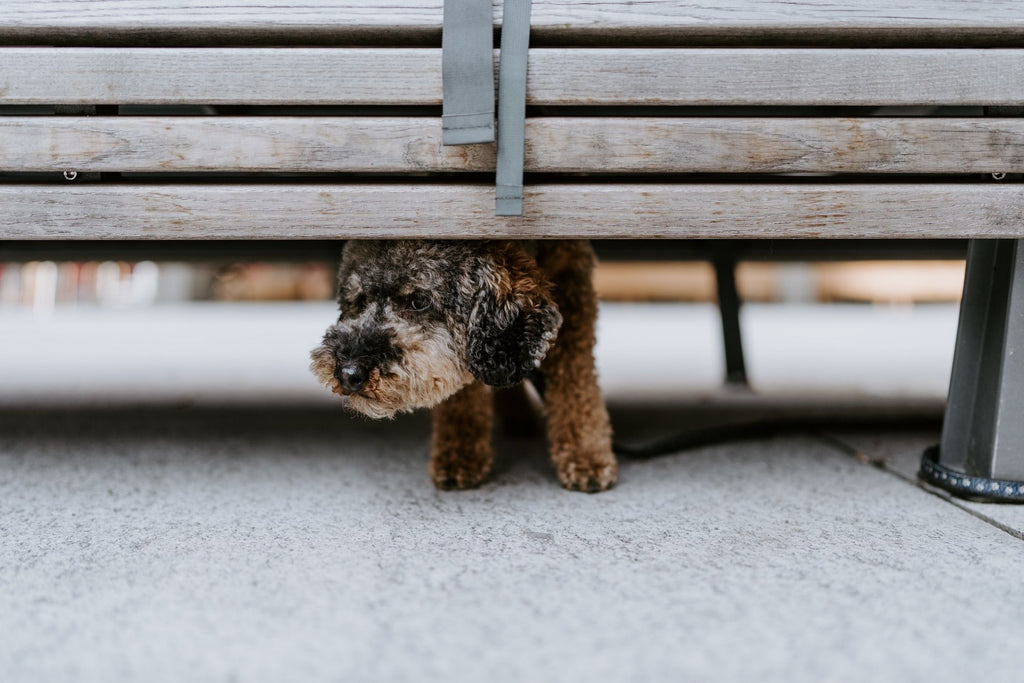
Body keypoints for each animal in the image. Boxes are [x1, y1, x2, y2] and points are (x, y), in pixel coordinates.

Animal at [309, 240, 614, 491]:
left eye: (419, 300)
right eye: (359, 300)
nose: (348, 373)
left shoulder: (574, 299)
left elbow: (576, 383)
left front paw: (587, 454)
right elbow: (462, 392)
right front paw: (460, 455)